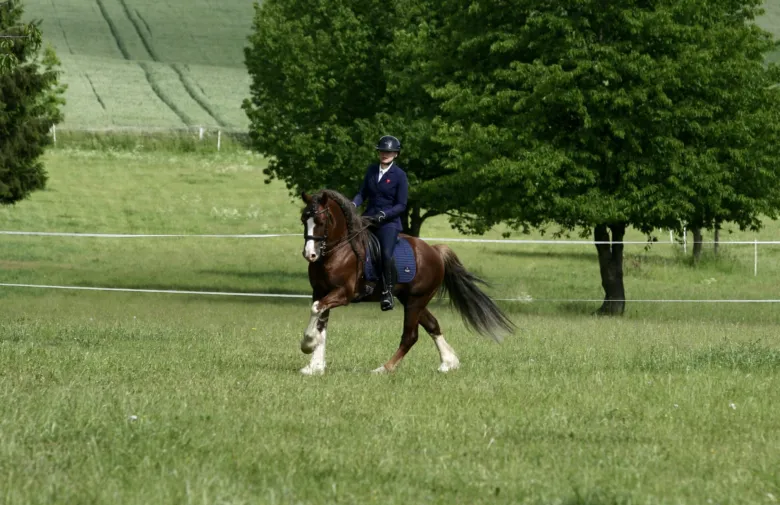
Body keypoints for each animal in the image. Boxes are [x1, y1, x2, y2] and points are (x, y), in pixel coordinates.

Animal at [298, 189, 515, 375]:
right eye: (303, 220)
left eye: (321, 220)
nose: (310, 254)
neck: (338, 251)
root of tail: (434, 251)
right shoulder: (321, 291)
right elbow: (321, 324)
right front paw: (315, 366)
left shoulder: (343, 293)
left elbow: (316, 310)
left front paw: (307, 345)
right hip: (411, 299)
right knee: (432, 325)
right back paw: (448, 363)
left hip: (415, 301)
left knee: (410, 336)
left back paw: (384, 369)